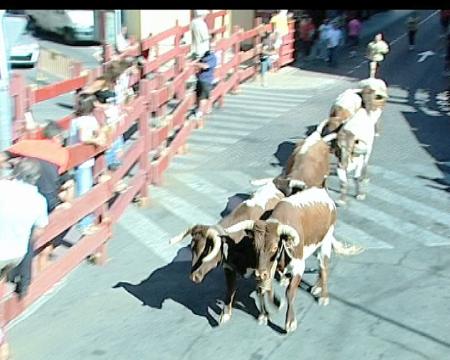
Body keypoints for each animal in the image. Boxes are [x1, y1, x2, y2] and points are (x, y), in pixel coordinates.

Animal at [169, 181, 284, 324]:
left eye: (207, 250)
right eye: (192, 248)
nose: (193, 277)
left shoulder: (262, 268)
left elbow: (262, 289)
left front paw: (266, 312)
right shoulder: (229, 268)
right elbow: (230, 290)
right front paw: (225, 314)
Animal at [224, 187, 362, 334]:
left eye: (274, 247)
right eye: (255, 245)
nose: (259, 273)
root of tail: (324, 194)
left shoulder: (298, 266)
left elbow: (289, 292)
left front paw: (290, 321)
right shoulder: (266, 268)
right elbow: (262, 289)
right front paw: (264, 314)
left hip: (325, 241)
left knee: (324, 266)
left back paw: (323, 296)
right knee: (320, 265)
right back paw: (316, 287)